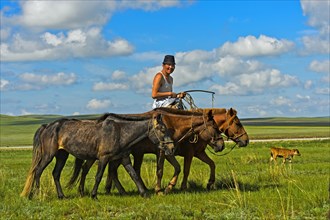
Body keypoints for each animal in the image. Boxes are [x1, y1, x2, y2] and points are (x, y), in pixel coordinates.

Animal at [20, 112, 175, 199]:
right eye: (162, 129)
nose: (171, 148)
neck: (120, 132)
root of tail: (46, 126)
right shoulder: (103, 158)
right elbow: (99, 176)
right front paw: (94, 196)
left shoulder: (124, 158)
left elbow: (134, 175)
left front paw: (145, 194)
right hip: (48, 155)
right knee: (38, 171)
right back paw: (37, 194)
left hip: (62, 155)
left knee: (56, 174)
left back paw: (61, 196)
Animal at [66, 107, 224, 195]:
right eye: (215, 127)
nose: (221, 145)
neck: (173, 125)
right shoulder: (162, 152)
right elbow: (160, 170)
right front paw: (159, 190)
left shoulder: (169, 151)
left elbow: (178, 168)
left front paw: (169, 187)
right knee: (93, 169)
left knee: (109, 171)